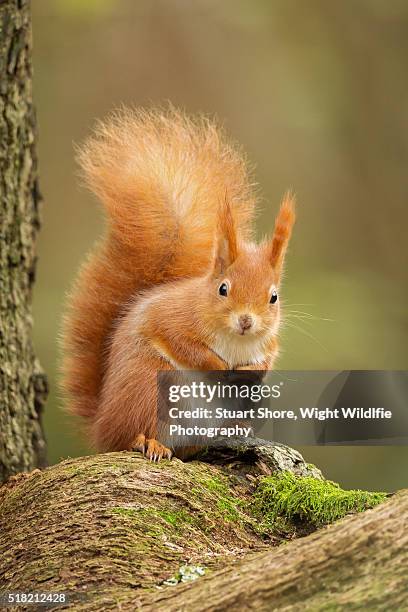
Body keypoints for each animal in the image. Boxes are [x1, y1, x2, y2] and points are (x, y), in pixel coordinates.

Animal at [60, 106, 294, 460]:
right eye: (223, 289)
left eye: (273, 298)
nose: (245, 321)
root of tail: (102, 425)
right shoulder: (174, 319)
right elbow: (184, 345)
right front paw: (217, 364)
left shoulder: (269, 343)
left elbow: (266, 361)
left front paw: (249, 371)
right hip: (152, 388)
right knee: (136, 433)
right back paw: (148, 442)